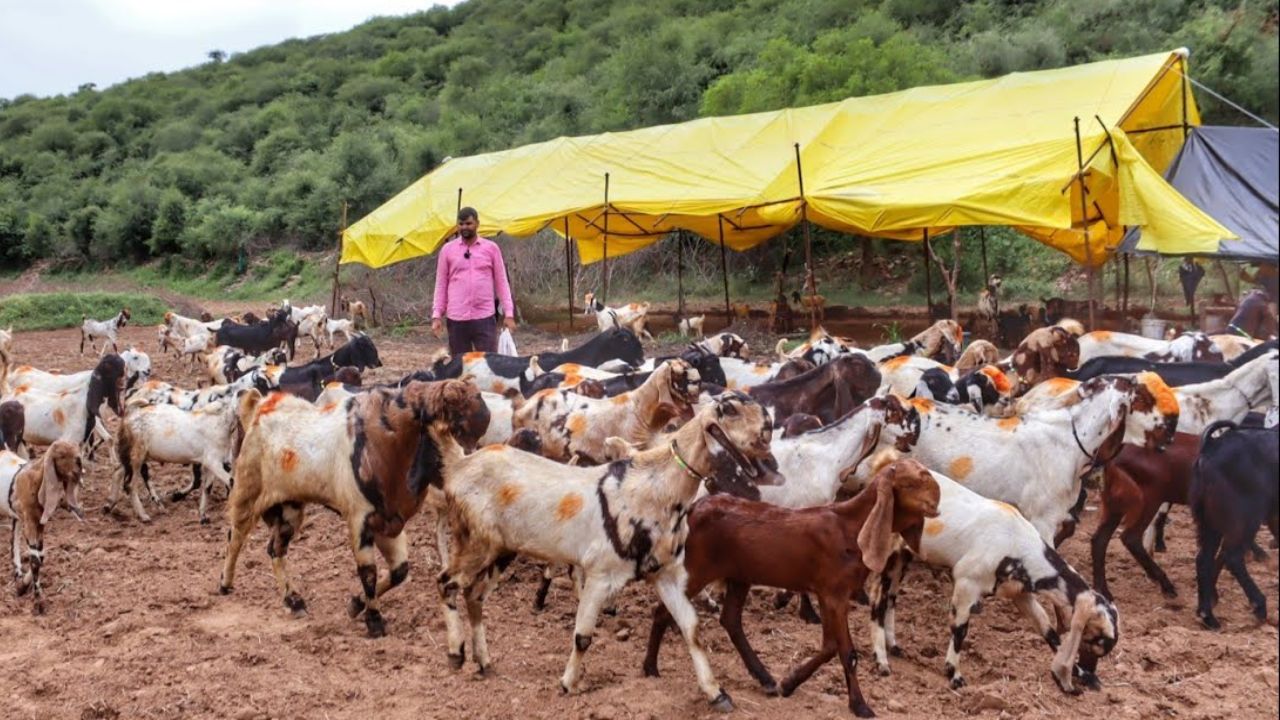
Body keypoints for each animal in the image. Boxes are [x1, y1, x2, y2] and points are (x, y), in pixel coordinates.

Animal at [640, 456, 942, 712]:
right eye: (910, 483)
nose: (937, 502)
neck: (852, 527)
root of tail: (693, 510)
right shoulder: (834, 593)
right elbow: (846, 652)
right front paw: (860, 706)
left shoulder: (831, 594)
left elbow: (831, 646)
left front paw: (789, 683)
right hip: (695, 570)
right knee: (664, 611)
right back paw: (651, 668)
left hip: (739, 575)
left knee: (730, 620)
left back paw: (765, 678)